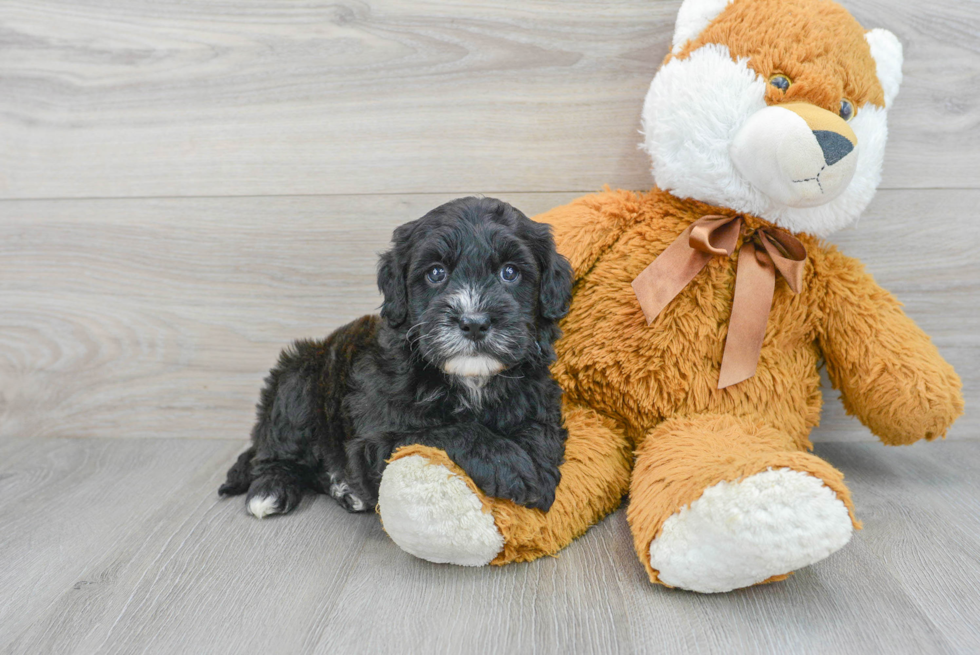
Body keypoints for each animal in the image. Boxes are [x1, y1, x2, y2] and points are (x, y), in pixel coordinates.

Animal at [220, 197, 576, 520]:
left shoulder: (538, 395)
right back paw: (271, 488)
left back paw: (344, 490)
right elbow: (441, 431)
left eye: (510, 272)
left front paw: (539, 469)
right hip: (298, 380)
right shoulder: (376, 439)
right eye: (436, 273)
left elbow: (540, 429)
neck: (470, 380)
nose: (474, 322)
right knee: (275, 452)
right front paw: (508, 463)